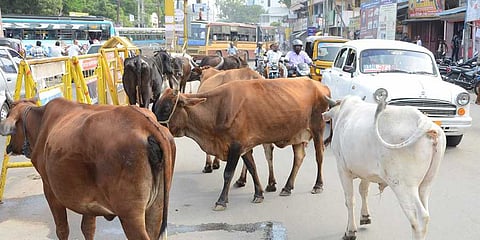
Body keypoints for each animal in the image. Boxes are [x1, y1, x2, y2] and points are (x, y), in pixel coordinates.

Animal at [0, 97, 176, 240]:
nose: (8, 146)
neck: (41, 122)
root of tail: (144, 123)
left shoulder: (50, 191)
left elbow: (62, 229)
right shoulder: (87, 199)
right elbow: (88, 228)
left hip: (130, 215)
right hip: (156, 207)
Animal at [153, 79, 330, 210]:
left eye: (167, 107)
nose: (155, 127)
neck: (217, 109)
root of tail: (321, 86)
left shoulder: (236, 146)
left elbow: (228, 173)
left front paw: (221, 201)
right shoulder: (244, 147)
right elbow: (252, 168)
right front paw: (258, 194)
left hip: (318, 128)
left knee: (319, 156)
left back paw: (318, 185)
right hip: (297, 136)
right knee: (299, 157)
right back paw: (287, 187)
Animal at [322, 95, 446, 240]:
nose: (323, 115)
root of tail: (424, 122)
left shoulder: (342, 169)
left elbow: (349, 200)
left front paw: (350, 231)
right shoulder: (366, 173)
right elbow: (363, 191)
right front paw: (365, 216)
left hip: (403, 186)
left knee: (420, 218)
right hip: (426, 184)